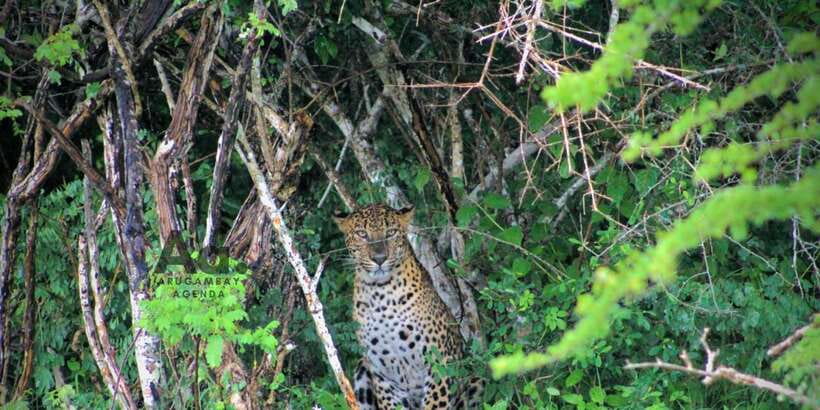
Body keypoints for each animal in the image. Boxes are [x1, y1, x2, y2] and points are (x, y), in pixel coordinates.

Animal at [334, 204, 483, 410]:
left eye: (391, 232)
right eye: (362, 234)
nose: (379, 258)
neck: (380, 294)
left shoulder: (438, 362)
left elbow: (435, 403)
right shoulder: (383, 375)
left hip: (478, 379)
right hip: (362, 369)